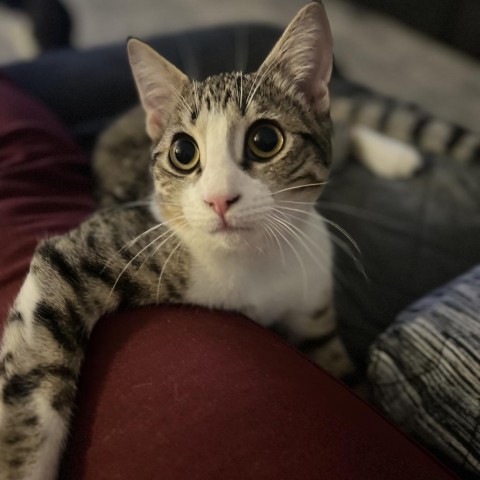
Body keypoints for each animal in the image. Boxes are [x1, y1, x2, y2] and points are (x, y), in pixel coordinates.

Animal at [0, 1, 352, 478]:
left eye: (265, 140)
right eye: (183, 152)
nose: (220, 199)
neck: (254, 260)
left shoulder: (313, 296)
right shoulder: (93, 248)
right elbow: (31, 371)